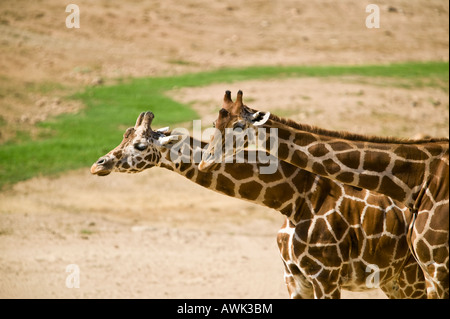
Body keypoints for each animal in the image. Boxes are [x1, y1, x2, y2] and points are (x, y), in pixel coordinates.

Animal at [90, 111, 426, 298]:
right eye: (123, 137)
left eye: (140, 145)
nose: (98, 165)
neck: (295, 200)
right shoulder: (295, 279)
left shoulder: (326, 278)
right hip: (395, 281)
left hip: (416, 277)